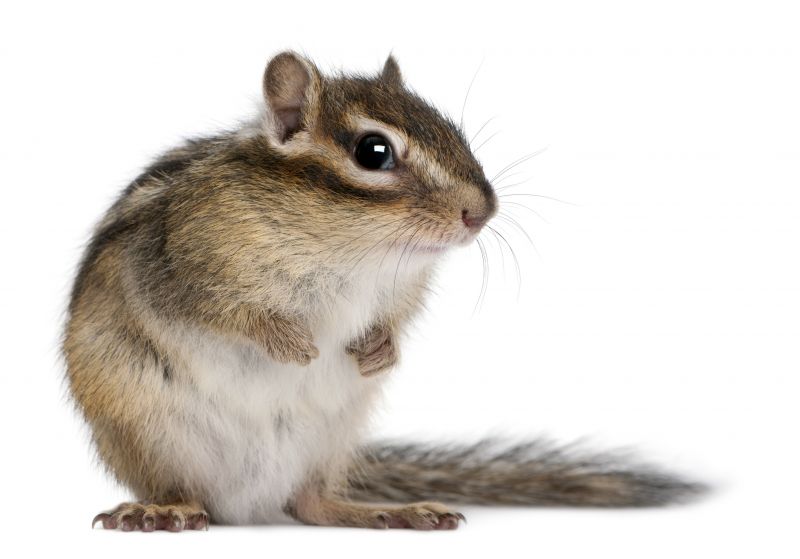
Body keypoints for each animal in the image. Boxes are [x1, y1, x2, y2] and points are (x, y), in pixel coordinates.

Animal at [63, 51, 703, 532]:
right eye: (374, 151)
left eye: (452, 130)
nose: (483, 211)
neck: (351, 249)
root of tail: (247, 503)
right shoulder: (176, 263)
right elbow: (222, 312)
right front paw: (291, 343)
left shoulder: (401, 290)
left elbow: (393, 319)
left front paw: (380, 349)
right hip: (152, 434)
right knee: (187, 492)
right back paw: (161, 511)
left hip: (327, 440)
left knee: (310, 503)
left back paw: (388, 512)